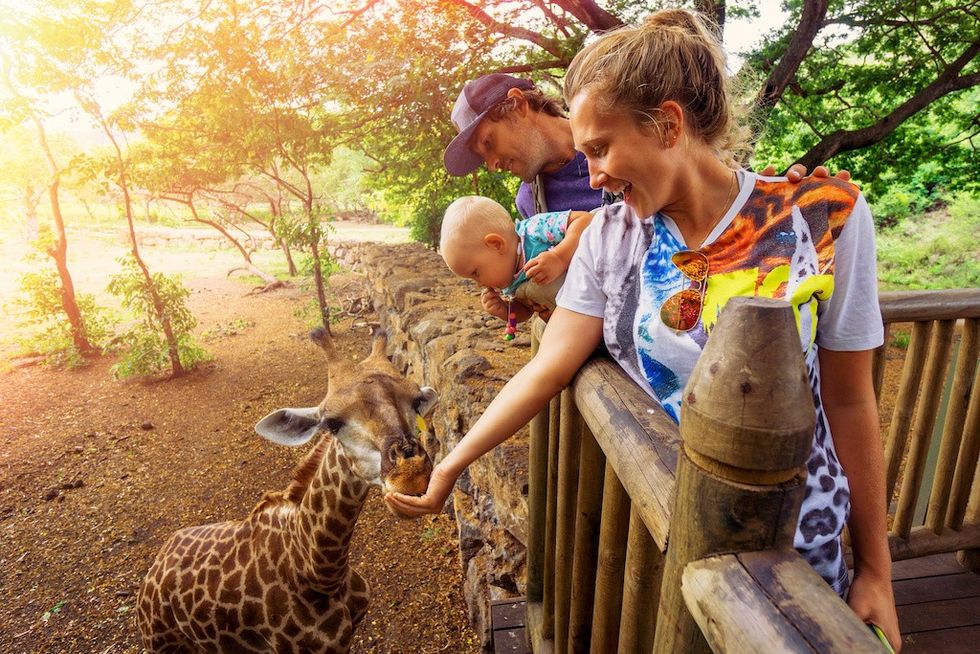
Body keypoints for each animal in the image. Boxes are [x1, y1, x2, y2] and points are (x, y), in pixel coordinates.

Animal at [136, 326, 437, 653]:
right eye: (332, 423)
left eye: (416, 401)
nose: (411, 477)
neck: (320, 572)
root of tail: (153, 570)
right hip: (162, 643)